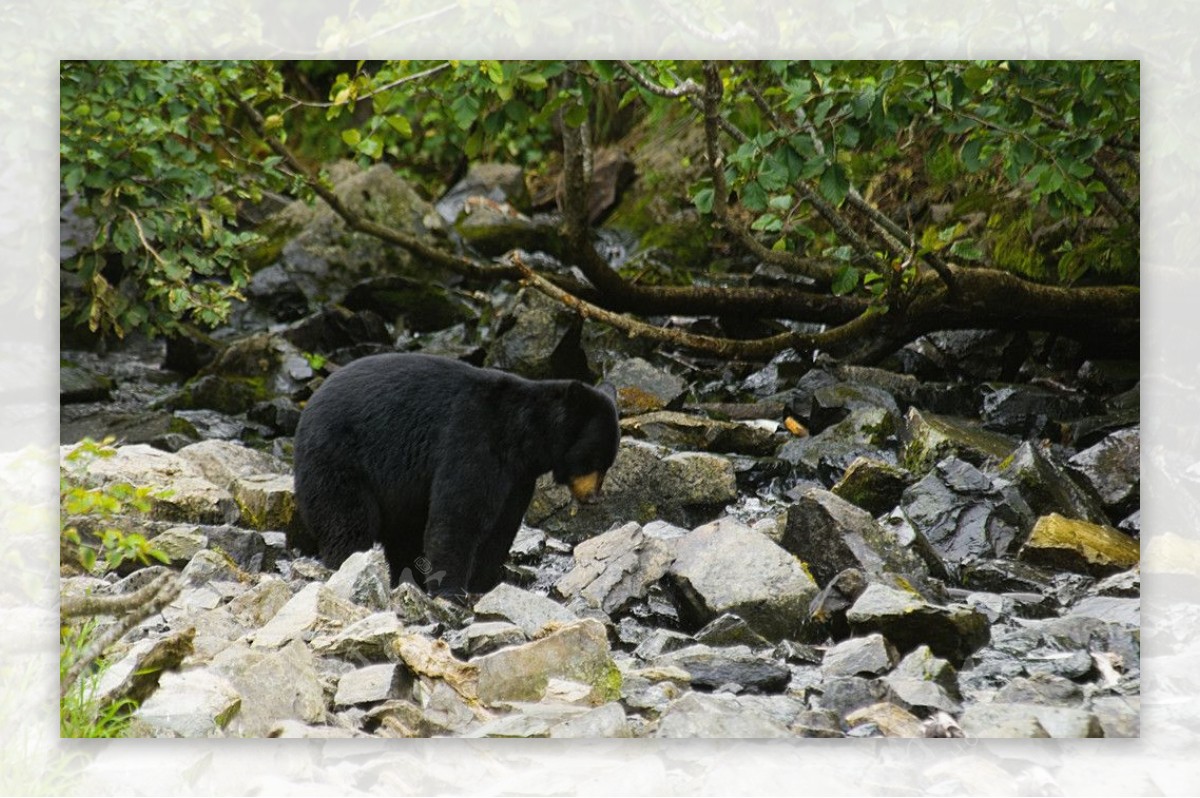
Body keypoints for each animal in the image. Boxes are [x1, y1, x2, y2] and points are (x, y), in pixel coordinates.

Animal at [290, 352, 619, 600]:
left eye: (608, 464)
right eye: (593, 459)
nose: (593, 498)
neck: (523, 435)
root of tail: (307, 411)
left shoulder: (517, 476)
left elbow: (502, 525)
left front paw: (483, 584)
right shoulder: (473, 437)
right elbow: (460, 514)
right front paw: (451, 591)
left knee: (403, 534)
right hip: (338, 460)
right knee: (348, 522)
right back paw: (347, 565)